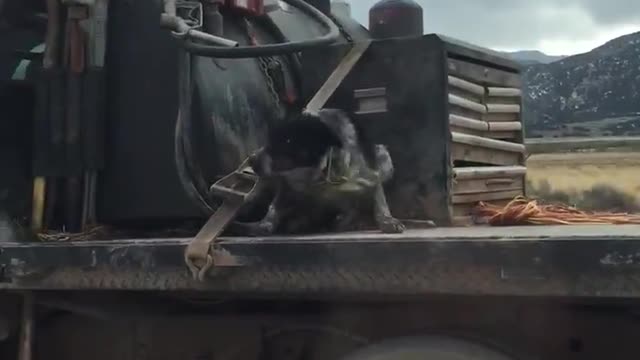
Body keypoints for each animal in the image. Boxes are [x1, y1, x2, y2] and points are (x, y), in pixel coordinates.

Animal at [231, 107, 404, 236]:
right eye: (267, 142)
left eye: (279, 149)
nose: (250, 159)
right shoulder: (289, 186)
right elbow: (272, 213)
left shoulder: (372, 174)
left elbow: (379, 202)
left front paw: (387, 221)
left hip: (383, 156)